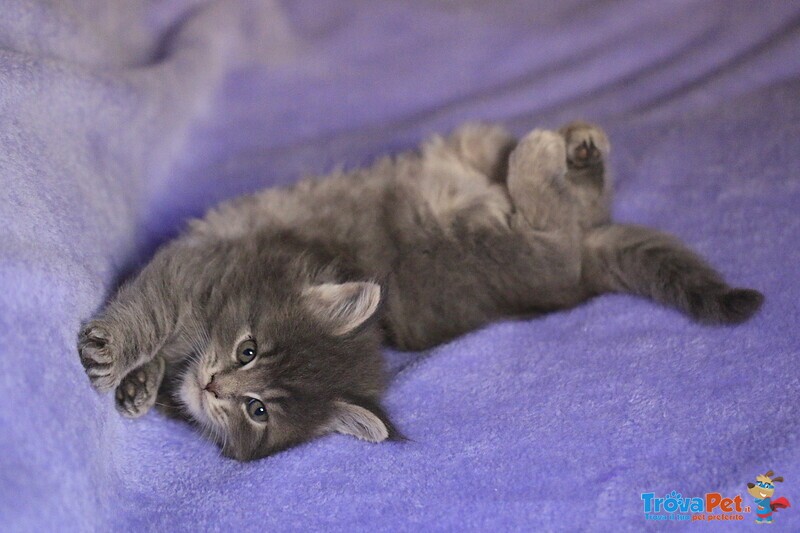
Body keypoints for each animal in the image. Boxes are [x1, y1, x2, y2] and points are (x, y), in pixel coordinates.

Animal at [78, 122, 764, 460]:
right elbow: (153, 320)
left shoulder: (192, 272)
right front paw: (134, 376)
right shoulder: (196, 269)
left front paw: (121, 362)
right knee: (558, 185)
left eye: (258, 411)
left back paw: (548, 153)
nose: (215, 386)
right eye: (247, 351)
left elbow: (150, 311)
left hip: (507, 252)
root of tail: (586, 273)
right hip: (478, 172)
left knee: (558, 230)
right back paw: (575, 141)